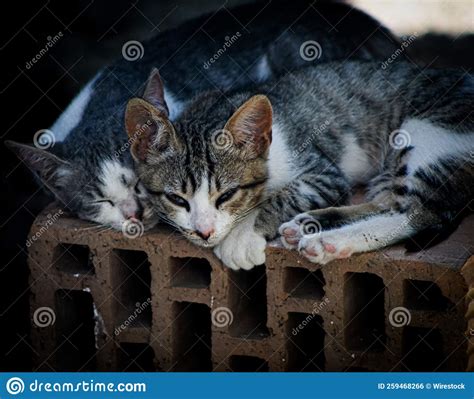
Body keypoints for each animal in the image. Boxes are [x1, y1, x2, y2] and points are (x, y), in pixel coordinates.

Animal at [125, 61, 474, 270]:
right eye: (176, 199)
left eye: (226, 195)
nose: (204, 231)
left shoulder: (323, 172)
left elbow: (284, 194)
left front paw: (242, 234)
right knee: (388, 203)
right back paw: (311, 224)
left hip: (425, 133)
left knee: (417, 213)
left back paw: (330, 241)